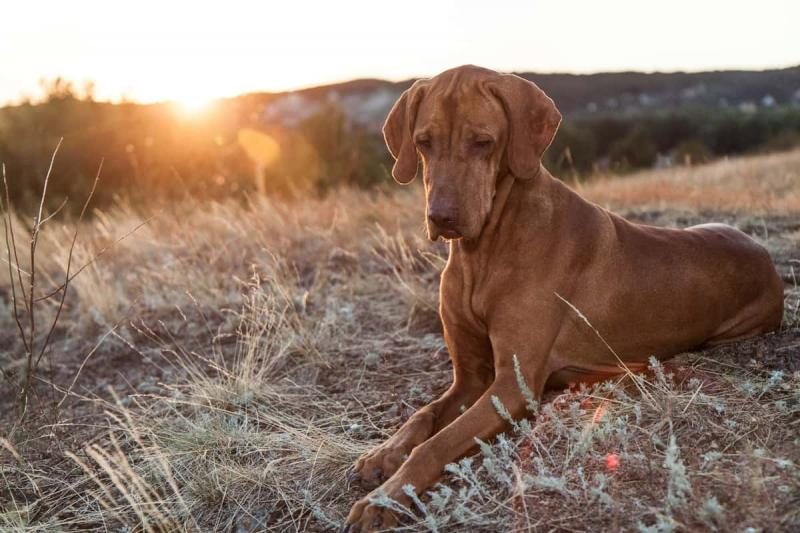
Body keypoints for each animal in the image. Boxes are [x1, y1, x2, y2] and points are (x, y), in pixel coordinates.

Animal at [342, 64, 780, 528]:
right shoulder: (471, 379)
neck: (485, 250)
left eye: (483, 142)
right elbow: (422, 417)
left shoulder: (511, 386)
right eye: (424, 142)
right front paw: (382, 454)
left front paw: (384, 500)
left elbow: (437, 444)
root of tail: (764, 254)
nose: (442, 217)